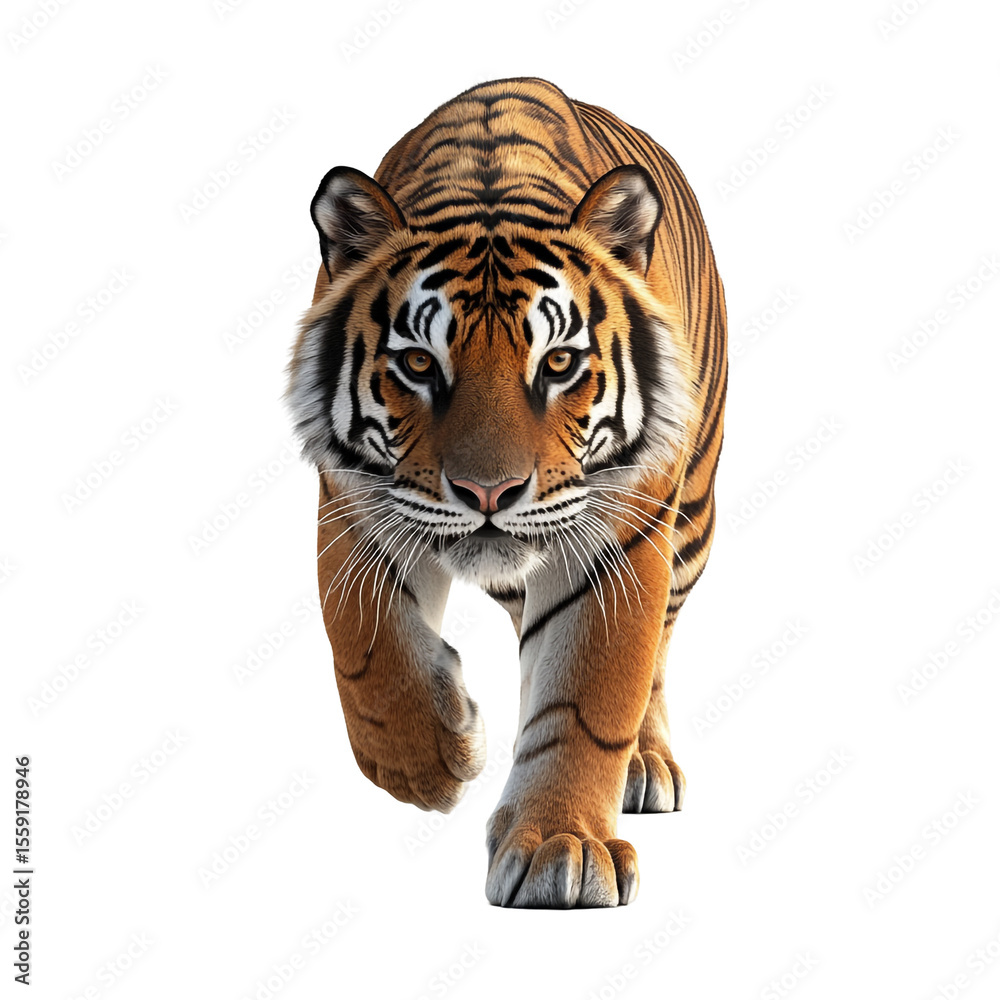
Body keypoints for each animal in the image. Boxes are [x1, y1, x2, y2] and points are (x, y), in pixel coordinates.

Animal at [285, 77, 727, 908]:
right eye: (418, 365)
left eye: (556, 363)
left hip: (689, 519)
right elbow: (365, 648)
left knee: (655, 650)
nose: (488, 492)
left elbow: (591, 693)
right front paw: (429, 762)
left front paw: (565, 847)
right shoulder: (352, 504)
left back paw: (644, 765)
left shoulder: (620, 535)